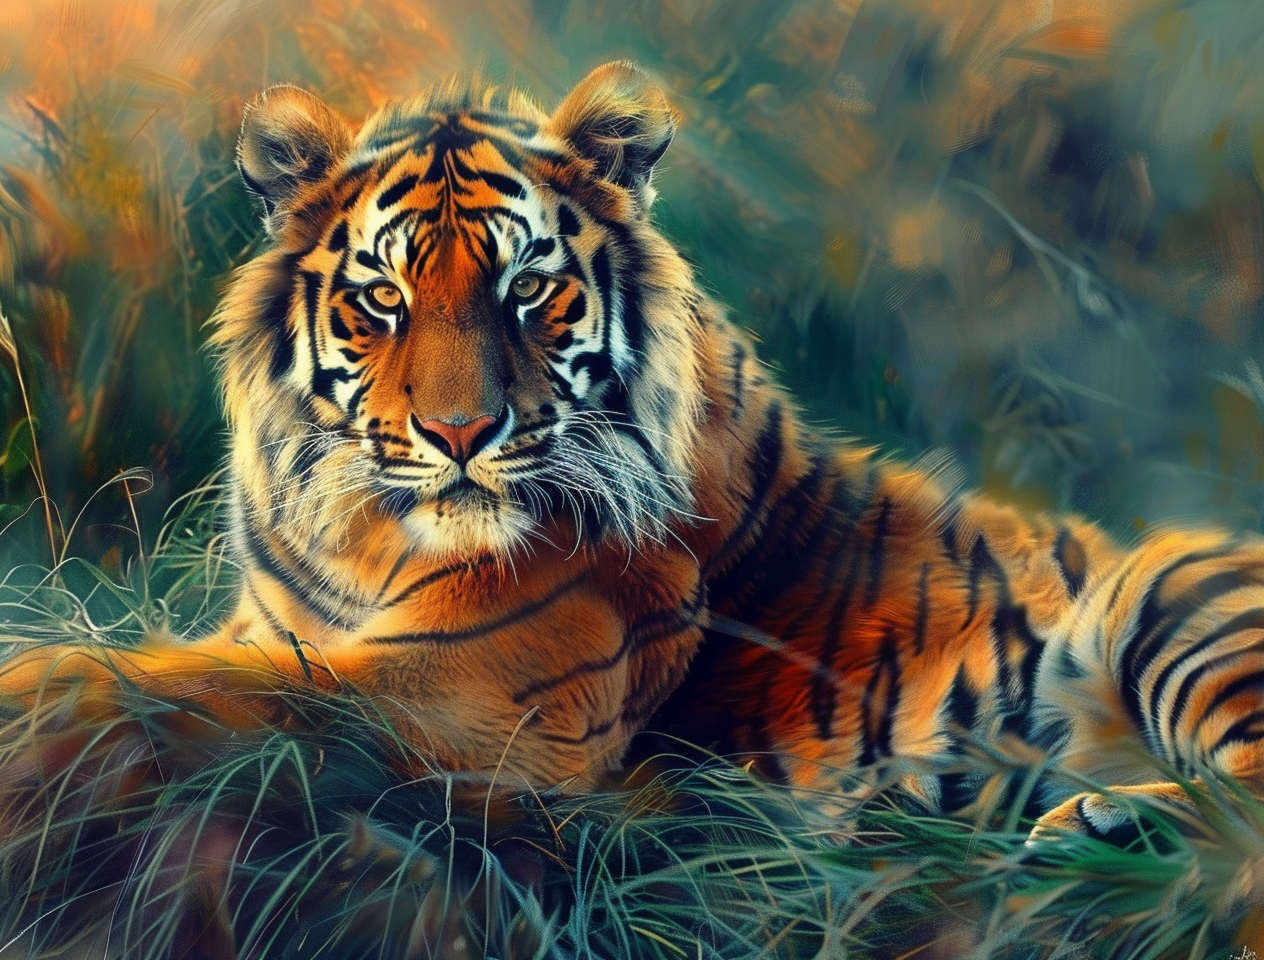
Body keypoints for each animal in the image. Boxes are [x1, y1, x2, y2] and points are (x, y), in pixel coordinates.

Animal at [3, 60, 1264, 846]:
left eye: (527, 290)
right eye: (383, 298)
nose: (459, 435)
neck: (362, 543)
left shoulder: (467, 697)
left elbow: (173, 686)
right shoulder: (288, 631)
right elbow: (190, 666)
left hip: (1174, 600)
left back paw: (1097, 821)